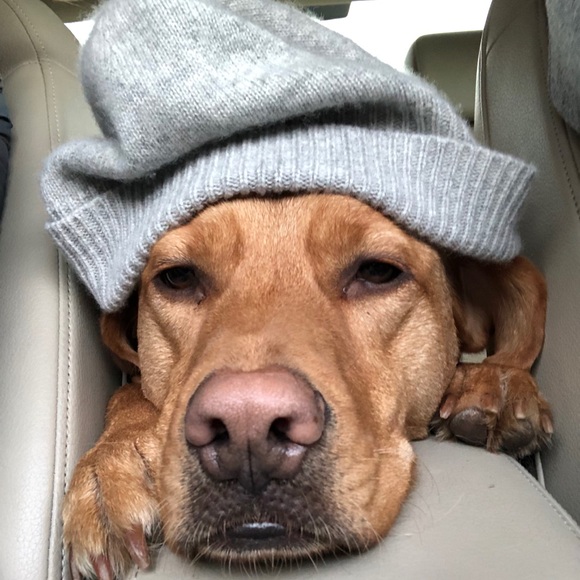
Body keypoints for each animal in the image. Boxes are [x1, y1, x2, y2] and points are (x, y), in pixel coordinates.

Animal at [62, 193, 553, 580]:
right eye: (178, 277)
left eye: (378, 271)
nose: (248, 427)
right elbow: (128, 390)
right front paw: (116, 463)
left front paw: (495, 382)